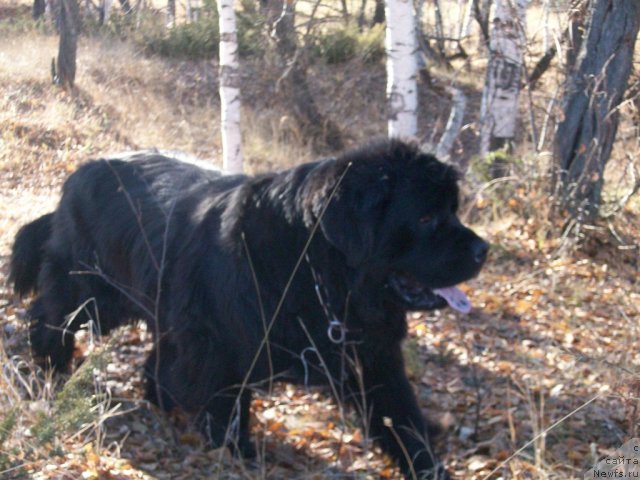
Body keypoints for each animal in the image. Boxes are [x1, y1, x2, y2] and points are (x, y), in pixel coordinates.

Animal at [10, 139, 488, 476]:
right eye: (425, 218)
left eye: (453, 210)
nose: (484, 249)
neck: (316, 269)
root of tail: (79, 172)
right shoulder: (222, 341)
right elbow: (228, 400)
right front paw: (236, 449)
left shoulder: (372, 355)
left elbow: (402, 416)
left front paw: (428, 466)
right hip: (94, 292)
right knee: (49, 317)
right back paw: (50, 365)